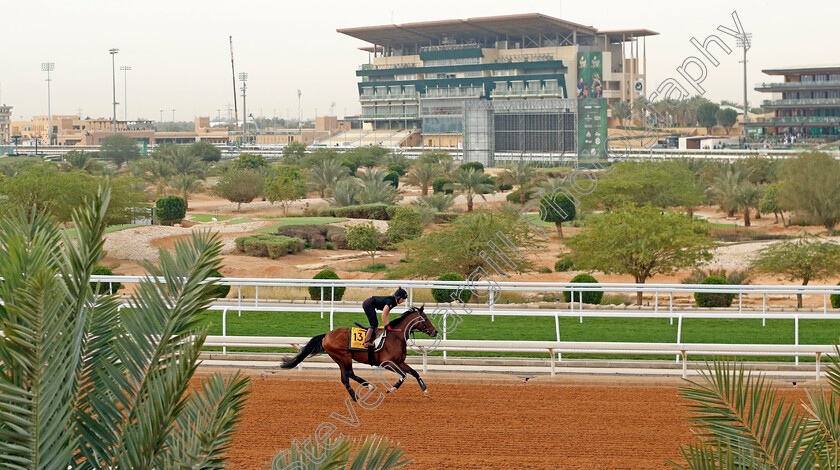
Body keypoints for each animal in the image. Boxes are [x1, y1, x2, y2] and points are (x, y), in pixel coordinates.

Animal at [280, 306, 440, 402]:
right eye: (425, 319)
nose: (435, 331)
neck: (396, 336)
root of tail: (326, 335)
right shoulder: (387, 363)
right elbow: (404, 375)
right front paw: (391, 388)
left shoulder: (400, 361)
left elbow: (414, 373)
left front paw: (425, 391)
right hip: (344, 356)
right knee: (349, 373)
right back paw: (368, 386)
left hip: (340, 359)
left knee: (345, 378)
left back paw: (356, 397)